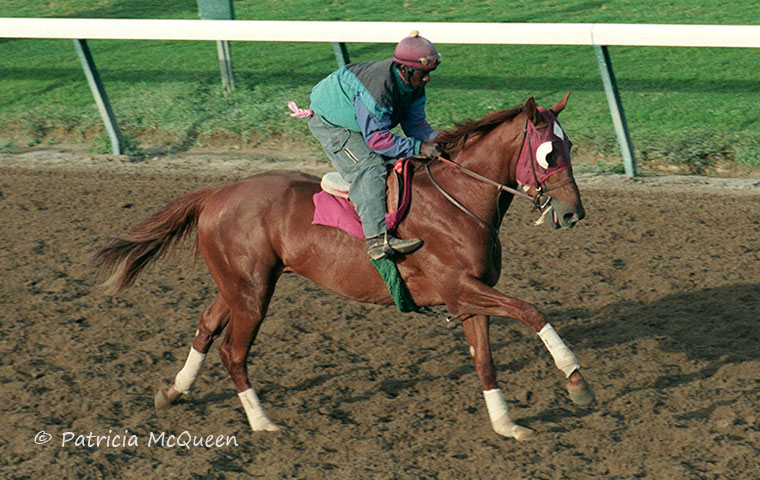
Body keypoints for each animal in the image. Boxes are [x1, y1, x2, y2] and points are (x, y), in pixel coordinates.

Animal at [93, 93, 592, 438]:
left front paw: (506, 424)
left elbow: (485, 362)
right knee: (232, 351)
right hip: (252, 292)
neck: (459, 199)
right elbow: (532, 311)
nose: (573, 213)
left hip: (239, 283)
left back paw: (175, 391)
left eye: (571, 146)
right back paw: (263, 423)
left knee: (206, 325)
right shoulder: (459, 287)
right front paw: (576, 380)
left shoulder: (470, 296)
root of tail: (216, 193)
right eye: (549, 153)